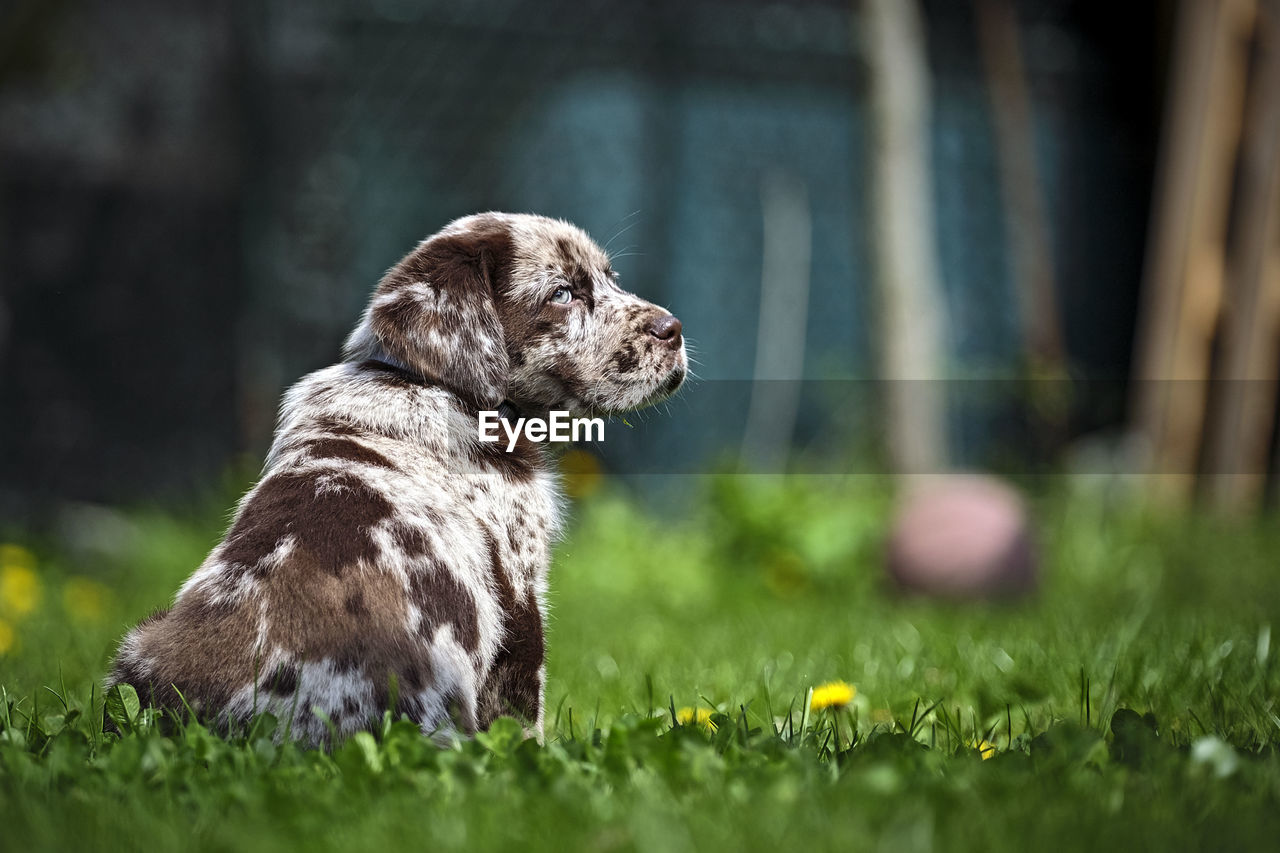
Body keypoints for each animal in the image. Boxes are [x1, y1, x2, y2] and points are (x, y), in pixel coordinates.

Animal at [108, 213, 686, 742]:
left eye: (610, 278)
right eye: (563, 294)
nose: (674, 330)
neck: (426, 384)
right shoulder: (519, 595)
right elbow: (524, 717)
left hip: (139, 643)